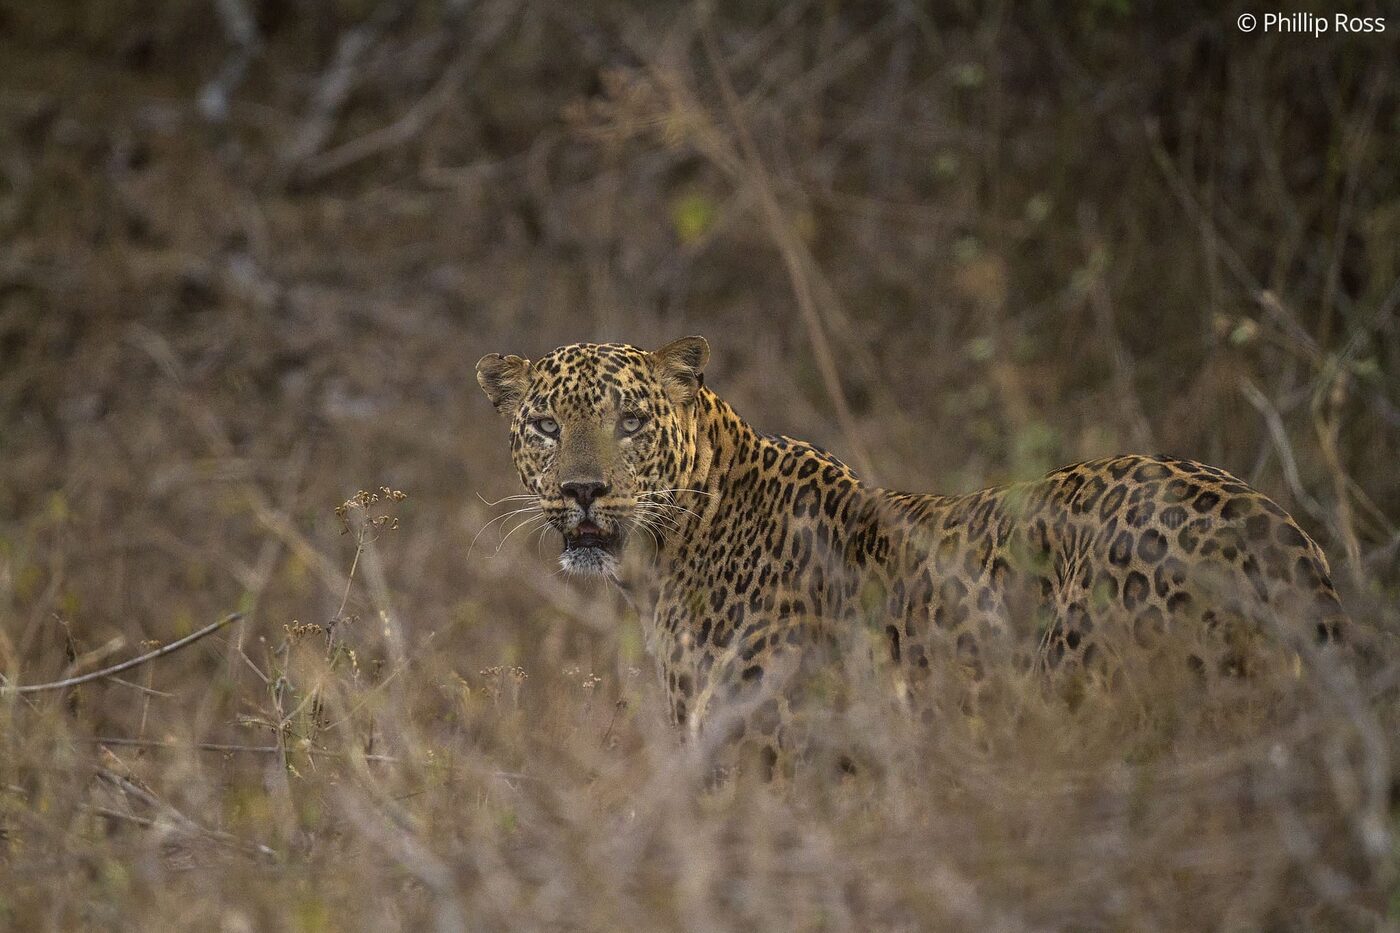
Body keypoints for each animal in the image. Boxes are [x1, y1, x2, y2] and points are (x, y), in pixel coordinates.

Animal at [477, 336, 1365, 777]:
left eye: (629, 421)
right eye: (546, 425)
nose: (583, 491)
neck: (667, 557)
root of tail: (1269, 522)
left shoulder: (771, 763)